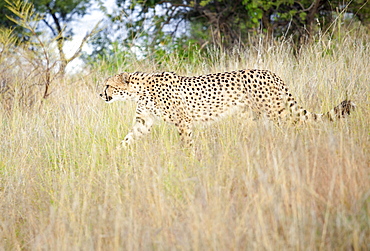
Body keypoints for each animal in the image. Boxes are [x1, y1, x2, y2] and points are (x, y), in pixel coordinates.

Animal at [99, 69, 354, 148]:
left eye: (108, 85)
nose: (101, 94)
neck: (139, 89)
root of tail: (270, 72)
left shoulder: (183, 122)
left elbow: (187, 144)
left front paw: (190, 161)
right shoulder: (143, 123)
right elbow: (127, 139)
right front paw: (114, 156)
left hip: (276, 111)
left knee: (295, 124)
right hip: (249, 116)